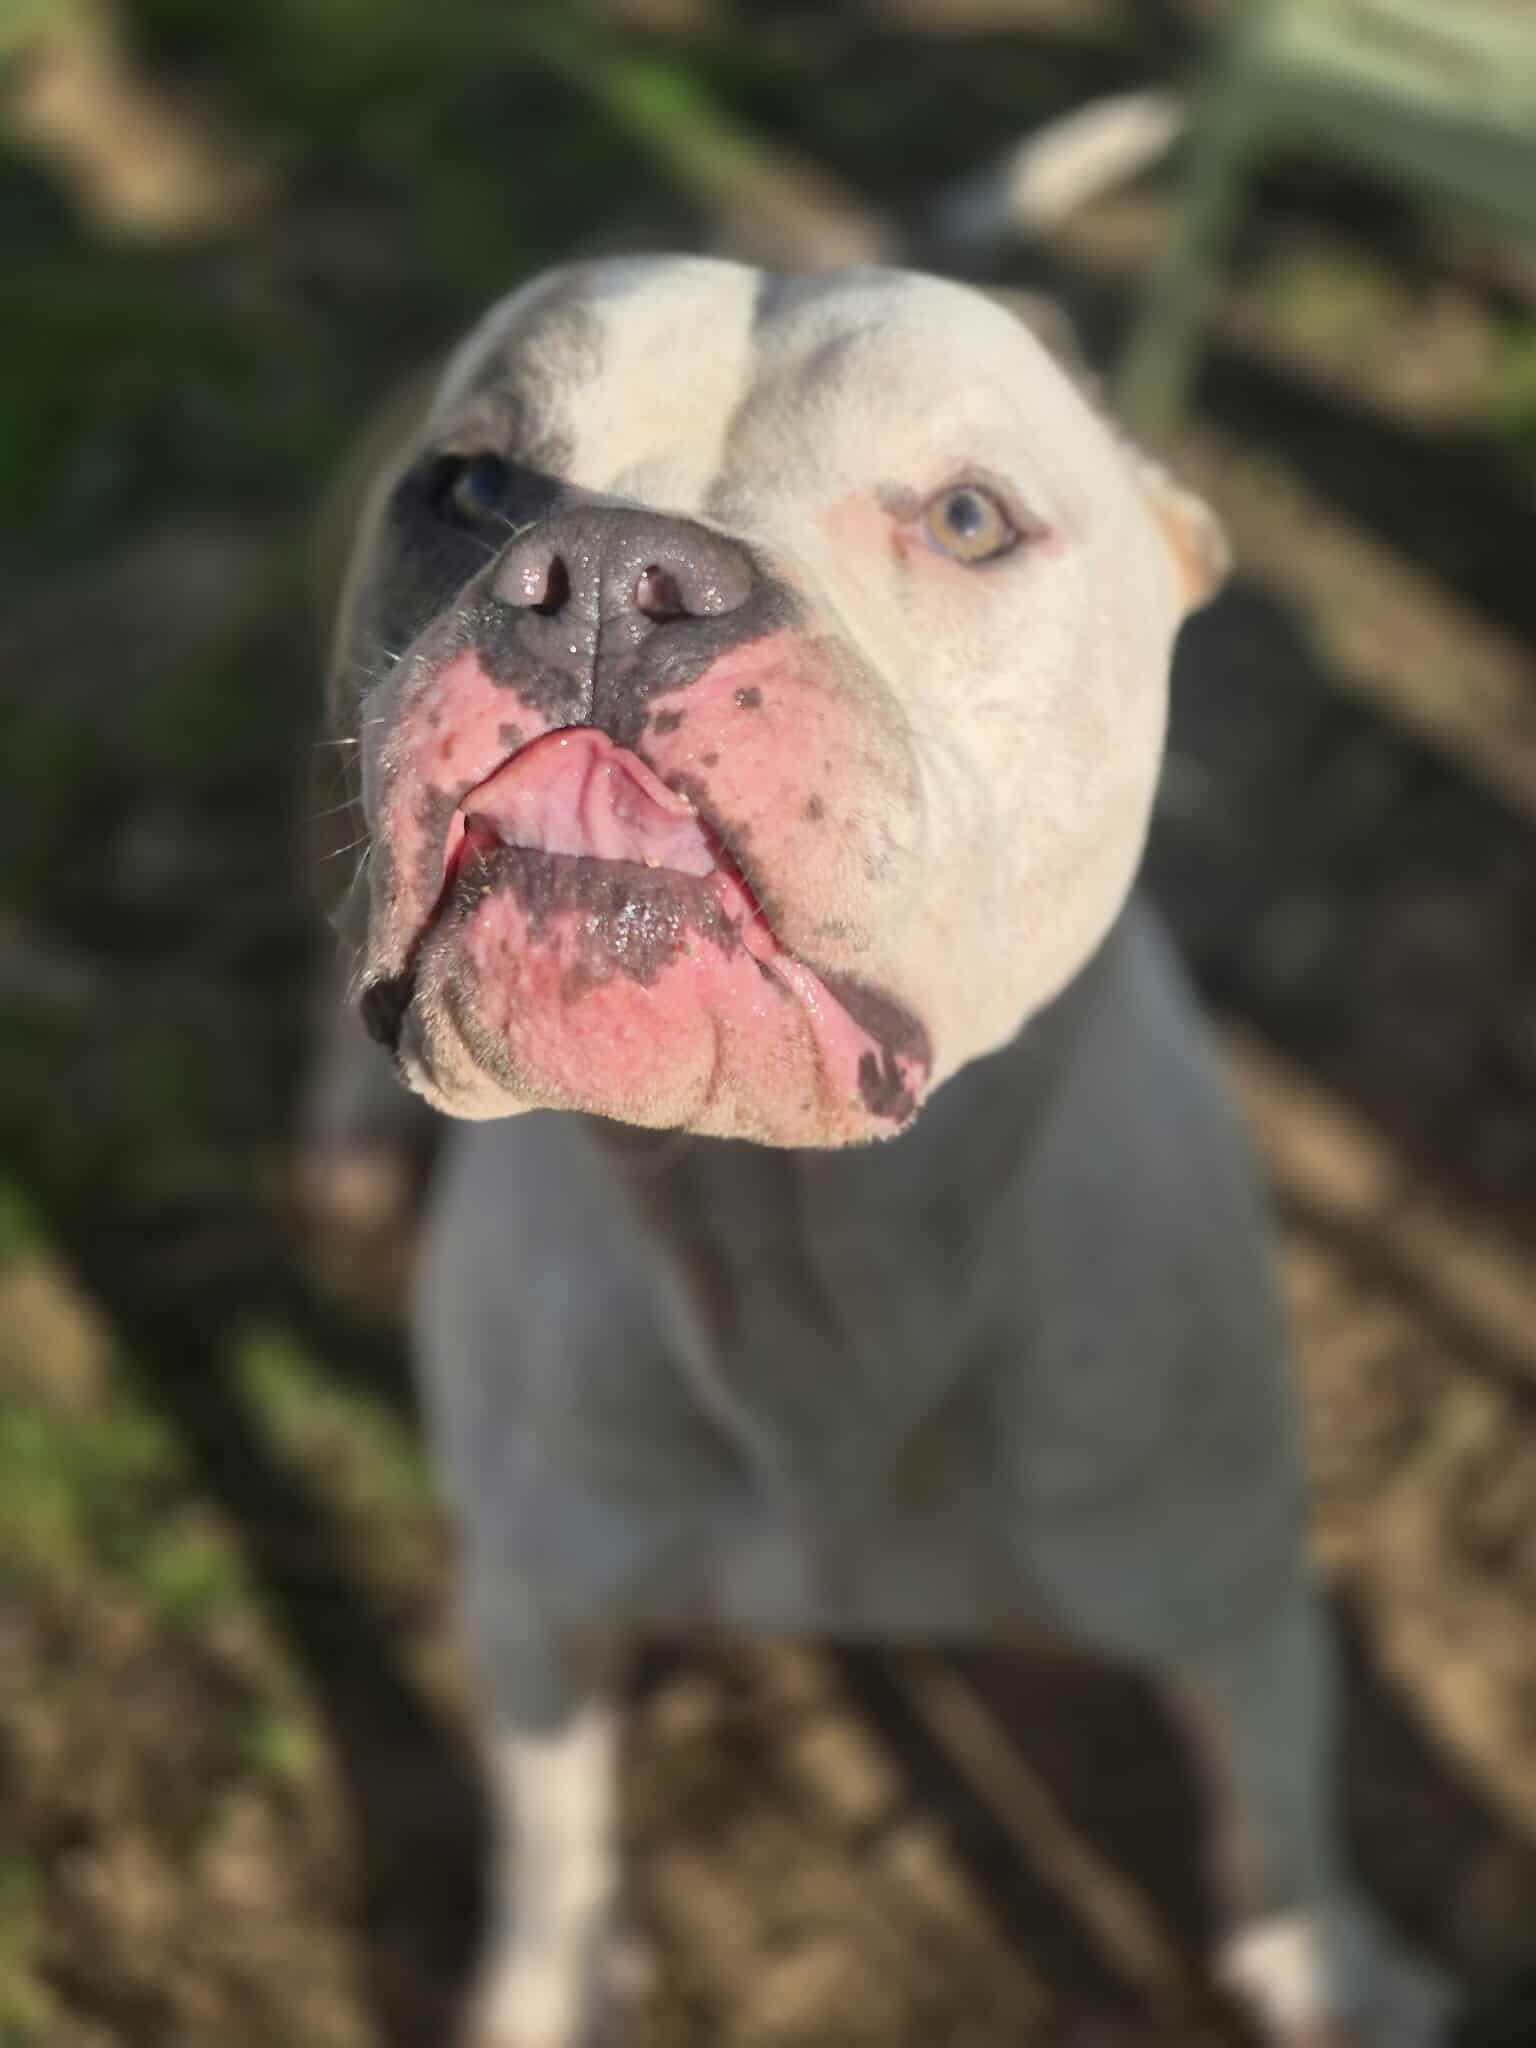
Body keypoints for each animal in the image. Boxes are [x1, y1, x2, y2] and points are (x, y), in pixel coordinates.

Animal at [322, 256, 1450, 2046]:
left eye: (970, 518)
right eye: (477, 488)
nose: (607, 577)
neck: (804, 1246)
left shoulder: (1241, 1601)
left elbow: (1280, 1828)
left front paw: (1340, 1972)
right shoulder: (534, 1607)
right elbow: (554, 1856)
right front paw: (540, 1989)